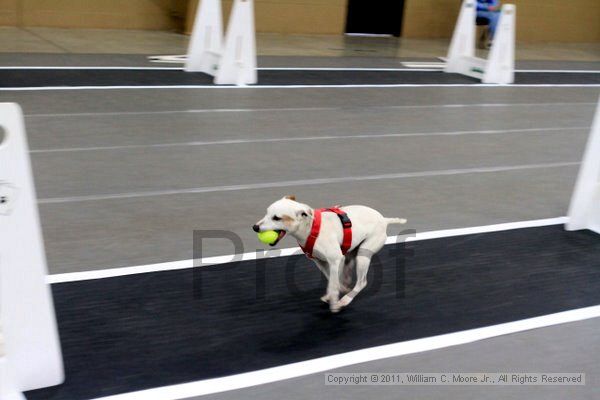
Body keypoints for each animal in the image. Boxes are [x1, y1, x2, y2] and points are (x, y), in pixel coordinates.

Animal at [251, 197, 406, 312]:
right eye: (266, 213)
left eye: (276, 218)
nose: (255, 227)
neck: (310, 228)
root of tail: (384, 219)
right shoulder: (321, 262)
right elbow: (331, 279)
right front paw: (334, 292)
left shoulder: (335, 259)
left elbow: (333, 282)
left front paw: (334, 302)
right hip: (351, 253)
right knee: (347, 273)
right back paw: (345, 286)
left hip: (363, 255)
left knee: (362, 282)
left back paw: (345, 300)